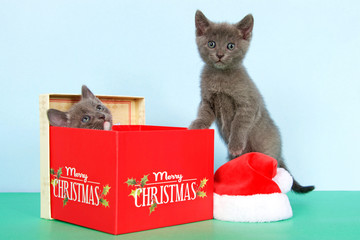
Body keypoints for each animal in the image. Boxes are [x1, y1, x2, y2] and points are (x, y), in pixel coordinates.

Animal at [190, 10, 314, 193]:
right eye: (211, 44)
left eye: (230, 46)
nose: (219, 55)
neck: (220, 78)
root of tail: (280, 153)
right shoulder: (207, 100)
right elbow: (203, 113)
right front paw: (196, 126)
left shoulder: (248, 104)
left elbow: (238, 125)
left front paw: (235, 145)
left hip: (266, 152)